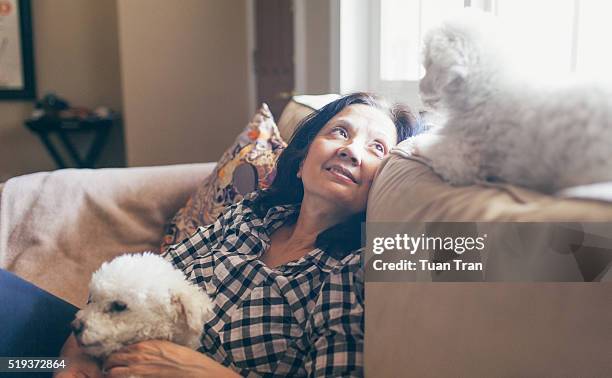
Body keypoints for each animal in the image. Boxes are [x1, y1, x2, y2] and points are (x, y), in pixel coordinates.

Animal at [412, 7, 612, 193]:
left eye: (428, 65)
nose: (418, 87)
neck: (491, 86)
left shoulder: (460, 161)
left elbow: (435, 147)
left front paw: (420, 143)